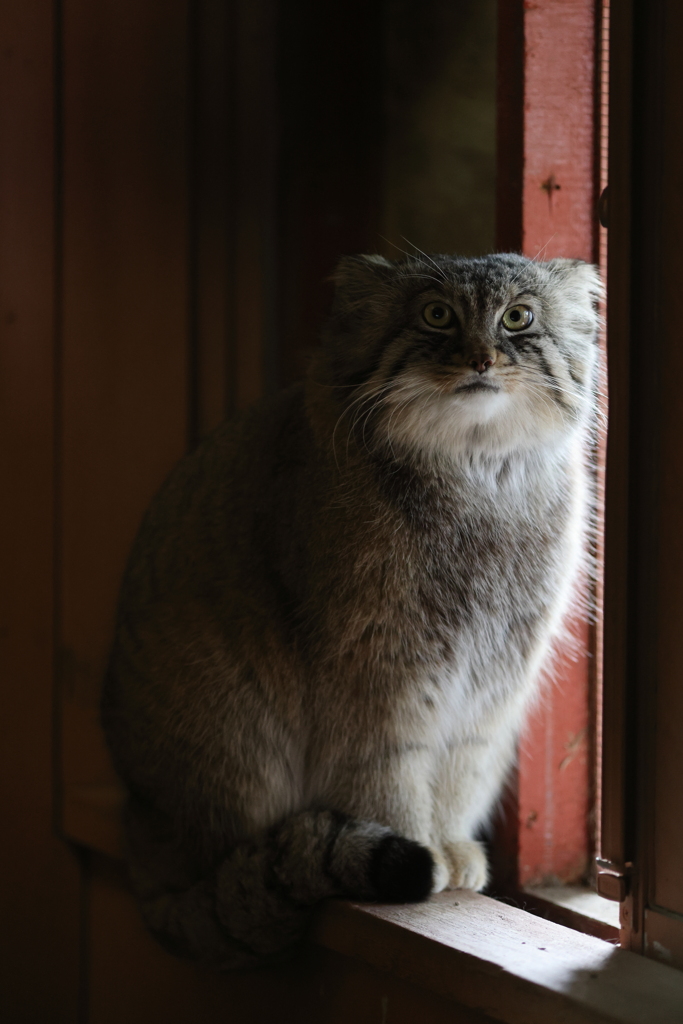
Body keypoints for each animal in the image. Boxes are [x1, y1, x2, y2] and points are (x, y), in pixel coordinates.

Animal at [101, 253, 598, 966]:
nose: (480, 357)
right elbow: (387, 767)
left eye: (518, 317)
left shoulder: (495, 673)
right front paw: (417, 843)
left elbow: (462, 763)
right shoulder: (376, 667)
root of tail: (141, 834)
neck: (477, 474)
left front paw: (450, 841)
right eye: (436, 314)